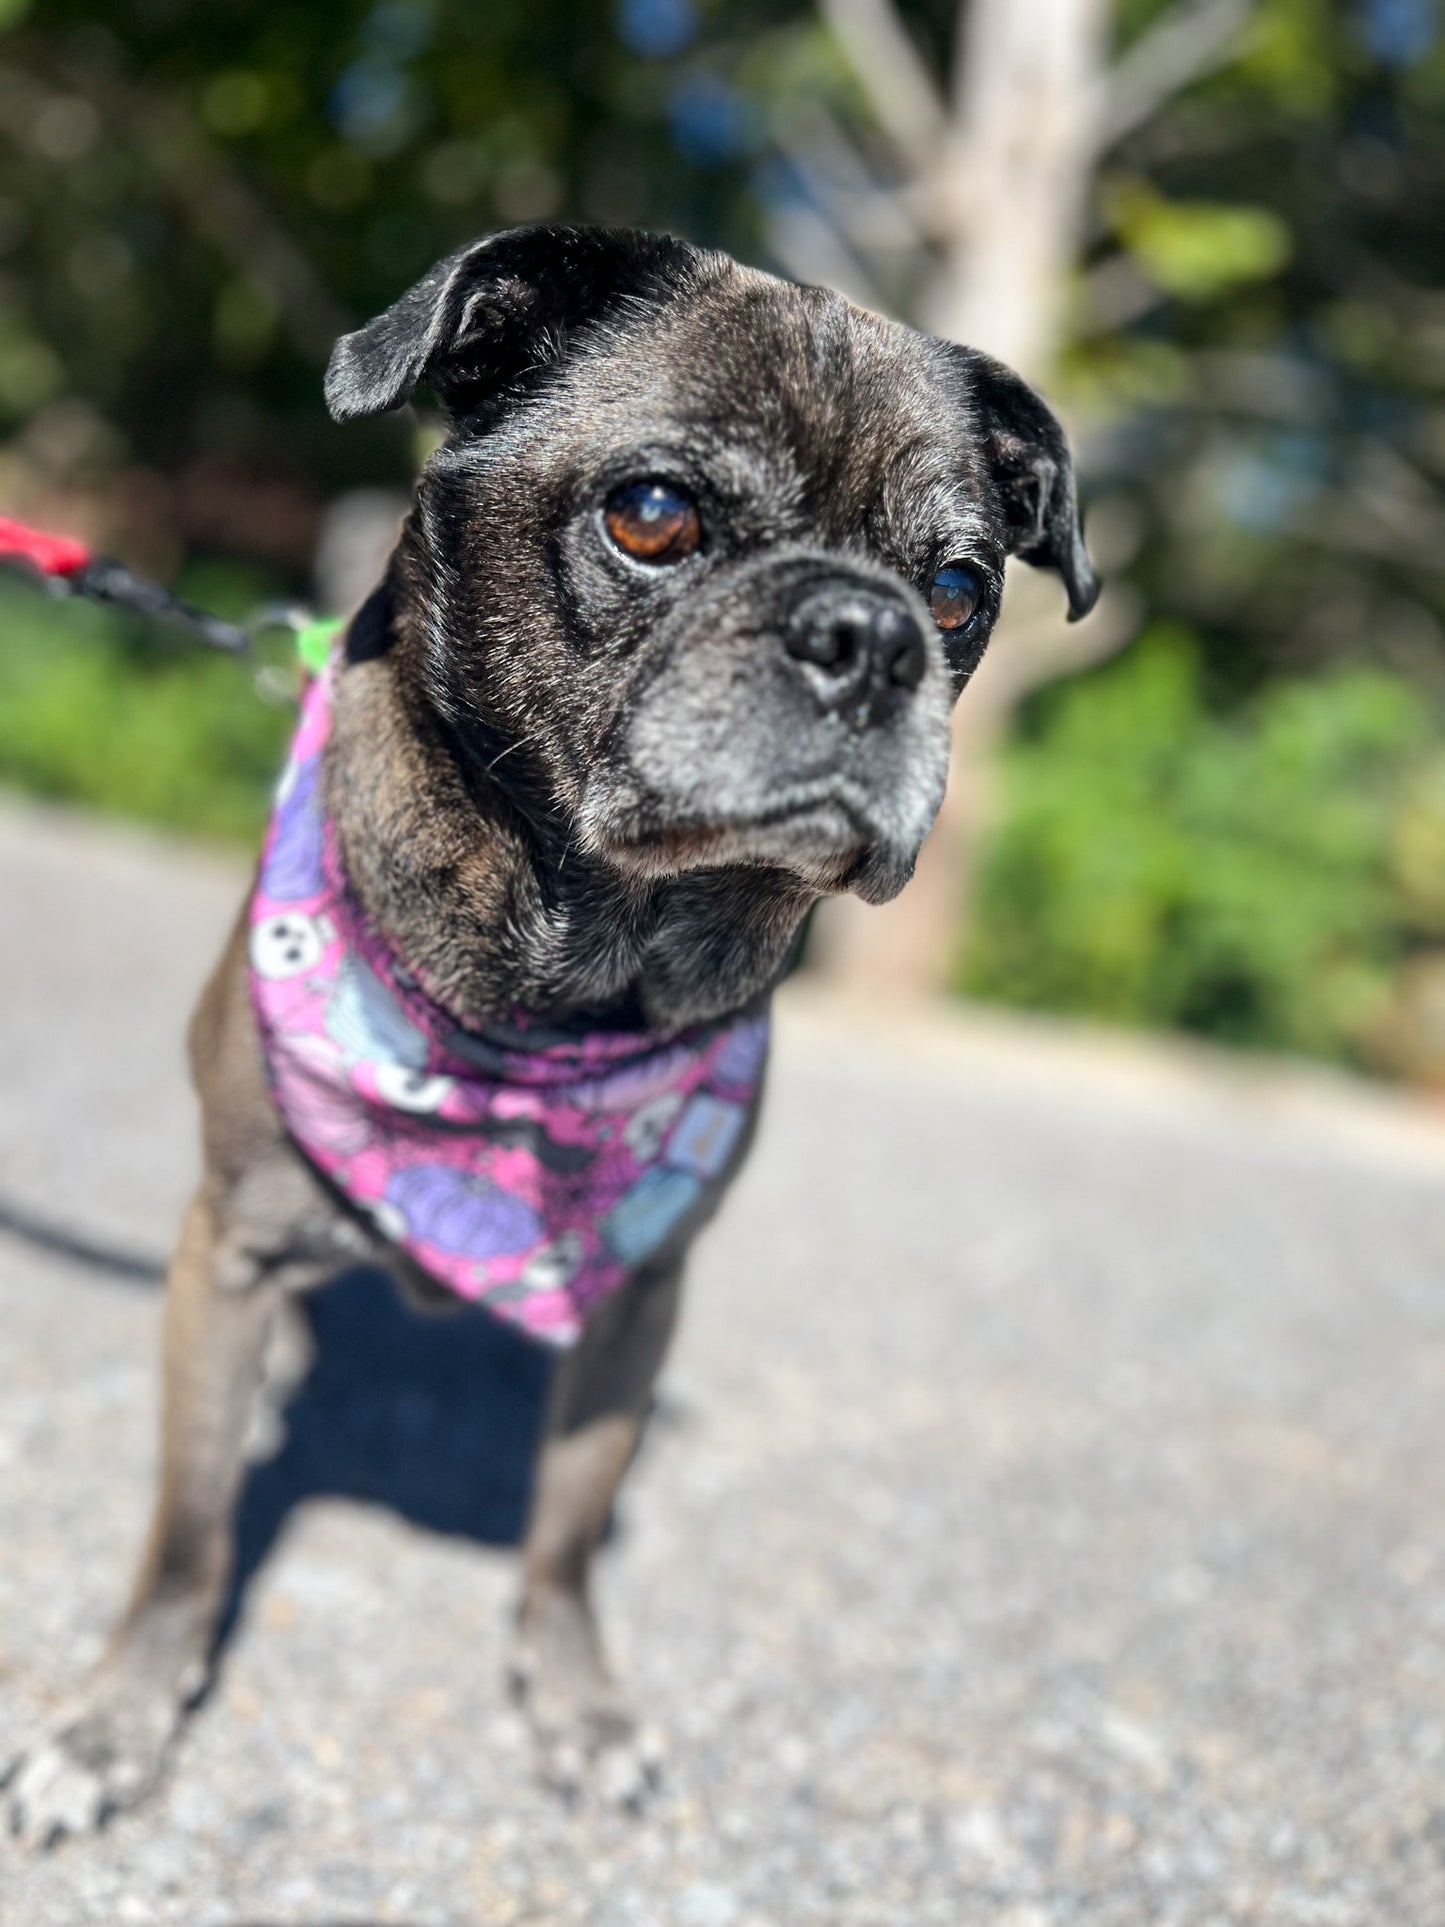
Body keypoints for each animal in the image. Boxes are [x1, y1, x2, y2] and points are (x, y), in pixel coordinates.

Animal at [8, 218, 1094, 1842]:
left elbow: (566, 1534)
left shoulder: (639, 1298)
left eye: (960, 587)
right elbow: (188, 1533)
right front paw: (116, 1721)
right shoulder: (235, 1248)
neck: (564, 985)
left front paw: (576, 1703)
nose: (868, 635)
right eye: (652, 515)